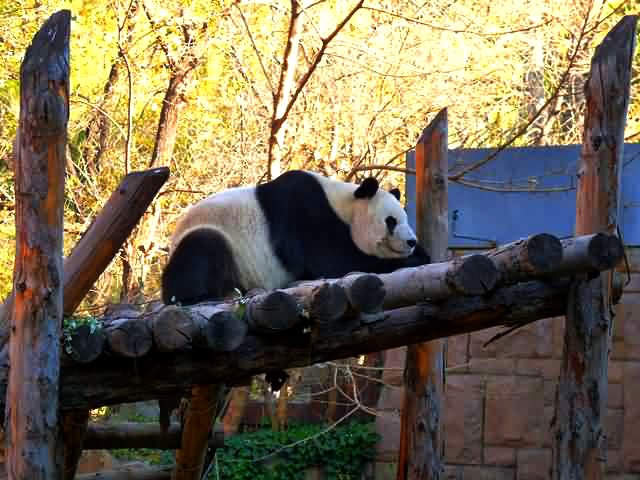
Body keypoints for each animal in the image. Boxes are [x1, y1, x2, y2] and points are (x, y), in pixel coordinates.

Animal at [161, 171, 430, 306]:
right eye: (391, 221)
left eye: (405, 218)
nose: (411, 242)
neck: (344, 204)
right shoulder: (307, 216)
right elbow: (336, 262)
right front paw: (413, 259)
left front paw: (421, 252)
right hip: (218, 237)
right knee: (201, 250)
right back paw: (197, 295)